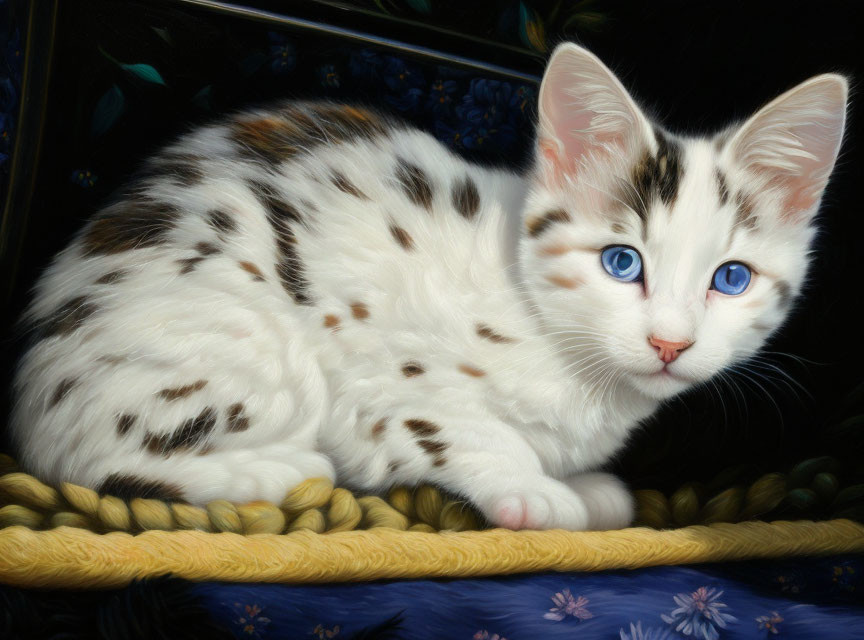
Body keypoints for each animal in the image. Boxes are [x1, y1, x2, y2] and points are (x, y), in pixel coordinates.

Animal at [10, 45, 848, 528]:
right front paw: (533, 489)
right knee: (84, 462)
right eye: (622, 263)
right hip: (250, 343)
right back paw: (274, 470)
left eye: (730, 279)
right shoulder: (380, 366)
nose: (670, 343)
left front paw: (587, 482)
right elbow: (460, 423)